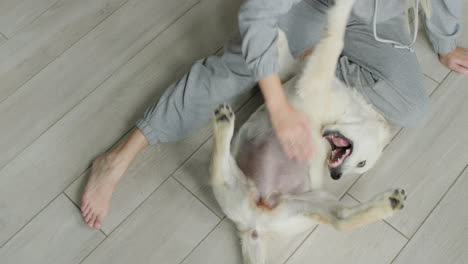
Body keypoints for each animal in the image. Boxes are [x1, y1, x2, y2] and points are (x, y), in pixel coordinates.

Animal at [211, 1, 406, 262]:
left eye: (361, 165)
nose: (336, 176)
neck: (340, 113)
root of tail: (255, 226)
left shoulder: (313, 78)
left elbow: (333, 40)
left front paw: (343, 8)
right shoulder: (295, 75)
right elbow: (287, 62)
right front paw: (278, 36)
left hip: (291, 199)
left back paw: (223, 123)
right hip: (298, 203)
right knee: (341, 220)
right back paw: (390, 203)